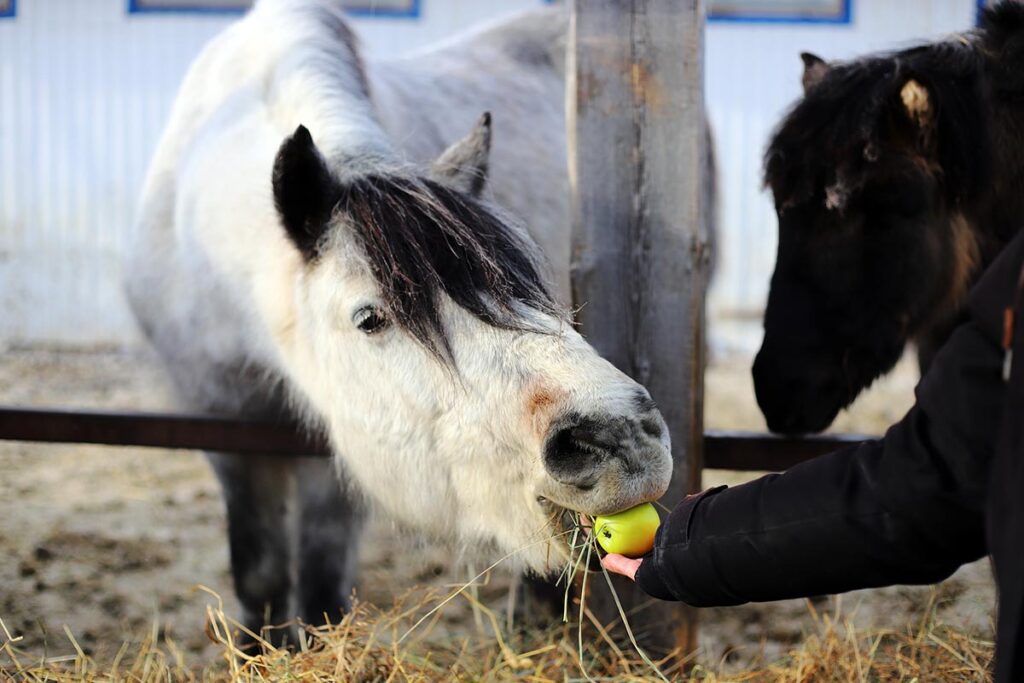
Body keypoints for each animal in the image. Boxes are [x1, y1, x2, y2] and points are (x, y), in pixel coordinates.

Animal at [130, 1, 679, 643]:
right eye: (369, 318)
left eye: (527, 285)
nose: (621, 439)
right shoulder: (223, 427)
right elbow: (259, 579)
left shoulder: (338, 460)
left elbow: (321, 587)